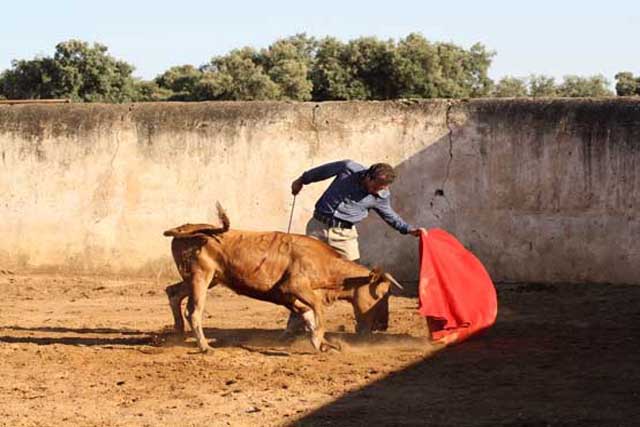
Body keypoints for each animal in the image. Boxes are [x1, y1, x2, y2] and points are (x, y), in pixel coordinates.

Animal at [162, 204, 400, 354]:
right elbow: (318, 309)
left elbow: (309, 315)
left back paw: (177, 332)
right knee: (193, 311)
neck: (327, 264)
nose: (383, 325)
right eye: (381, 294)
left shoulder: (289, 297)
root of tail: (186, 228)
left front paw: (324, 344)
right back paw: (205, 347)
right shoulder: (295, 286)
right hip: (201, 277)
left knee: (173, 293)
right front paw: (318, 340)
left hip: (206, 279)